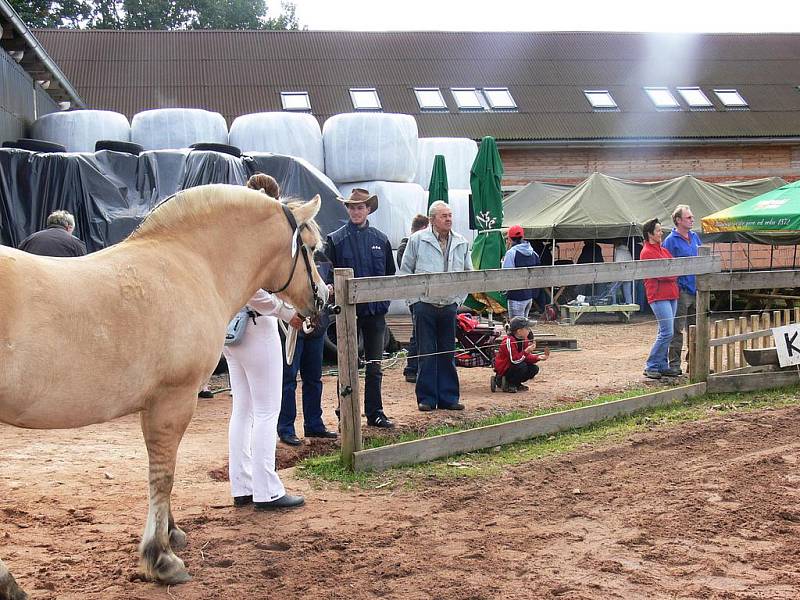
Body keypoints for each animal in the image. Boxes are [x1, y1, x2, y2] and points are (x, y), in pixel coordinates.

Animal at [0, 184, 328, 600]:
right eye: (312, 248)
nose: (323, 301)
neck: (191, 263)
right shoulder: (175, 400)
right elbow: (163, 476)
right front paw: (161, 558)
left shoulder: (154, 405)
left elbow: (161, 470)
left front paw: (171, 534)